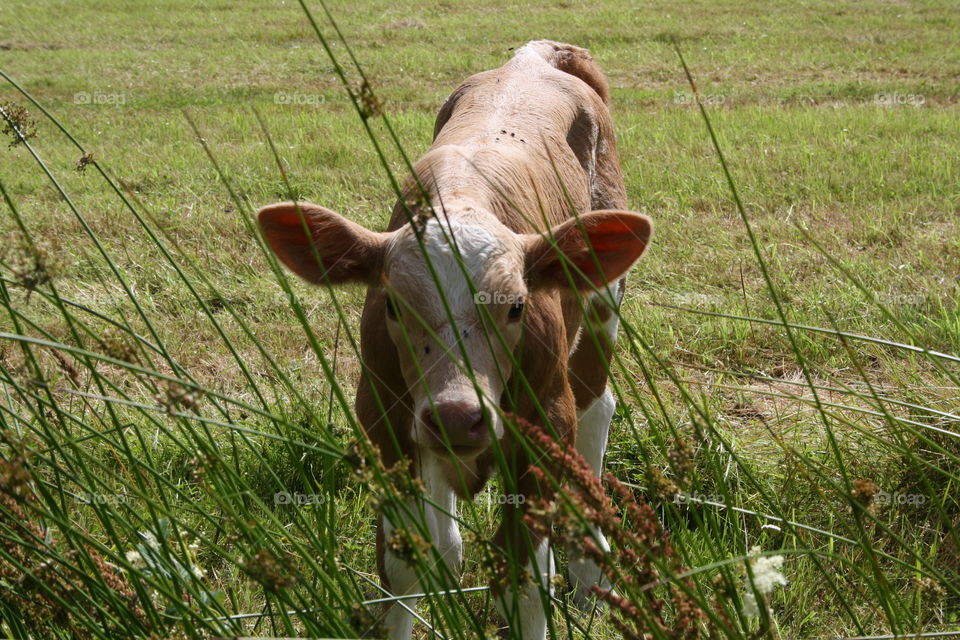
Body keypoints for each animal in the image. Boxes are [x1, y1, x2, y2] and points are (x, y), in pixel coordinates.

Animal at [257, 40, 651, 639]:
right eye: (393, 306)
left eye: (516, 306)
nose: (456, 417)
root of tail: (534, 56)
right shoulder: (383, 415)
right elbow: (410, 560)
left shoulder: (544, 419)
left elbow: (522, 577)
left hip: (602, 305)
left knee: (596, 407)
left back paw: (588, 573)